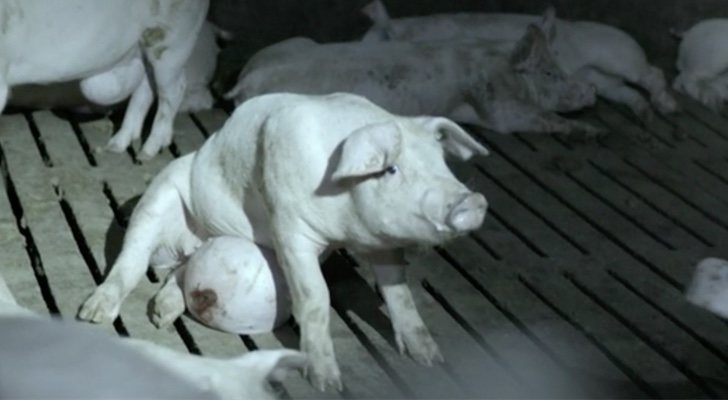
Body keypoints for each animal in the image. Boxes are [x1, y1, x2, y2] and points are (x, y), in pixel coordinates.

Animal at [78, 92, 489, 391]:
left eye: (443, 163)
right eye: (391, 169)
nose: (472, 201)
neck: (345, 226)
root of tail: (191, 243)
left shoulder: (382, 242)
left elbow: (399, 294)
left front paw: (431, 359)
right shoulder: (290, 225)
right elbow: (315, 296)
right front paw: (327, 384)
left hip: (190, 253)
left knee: (179, 274)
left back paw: (161, 314)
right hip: (159, 196)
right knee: (132, 259)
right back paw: (94, 314)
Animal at [224, 26, 602, 137]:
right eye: (551, 73)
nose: (592, 89)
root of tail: (250, 76)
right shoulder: (498, 104)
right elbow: (538, 117)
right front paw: (597, 132)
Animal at [361, 1, 678, 124]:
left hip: (619, 56)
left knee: (652, 74)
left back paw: (668, 108)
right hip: (604, 81)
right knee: (626, 92)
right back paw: (646, 117)